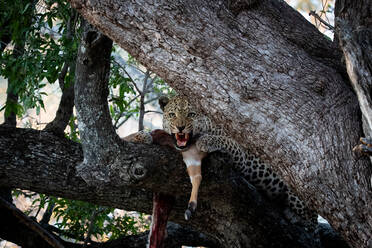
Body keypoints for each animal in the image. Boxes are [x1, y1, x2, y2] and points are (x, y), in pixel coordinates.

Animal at [124, 95, 316, 229]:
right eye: (172, 115)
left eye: (191, 114)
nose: (180, 127)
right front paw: (141, 135)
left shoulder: (241, 155)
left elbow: (225, 140)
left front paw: (206, 140)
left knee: (312, 220)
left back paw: (295, 216)